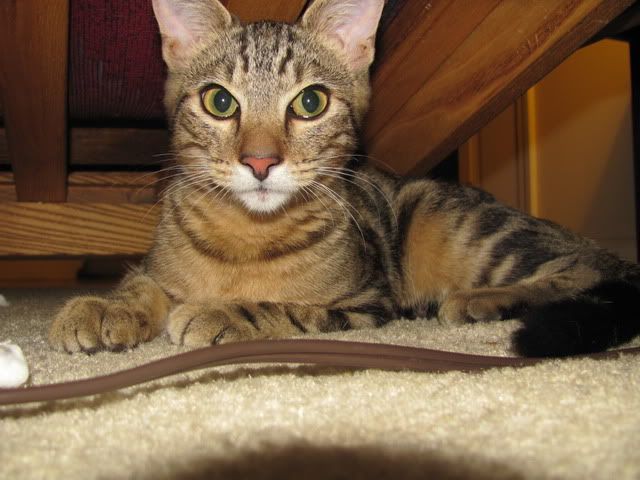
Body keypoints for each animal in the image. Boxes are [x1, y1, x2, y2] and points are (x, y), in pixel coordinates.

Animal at [49, 0, 640, 357]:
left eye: (310, 103)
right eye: (220, 102)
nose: (259, 161)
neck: (245, 238)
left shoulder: (364, 304)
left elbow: (291, 310)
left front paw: (222, 311)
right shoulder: (158, 265)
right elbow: (141, 280)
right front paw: (106, 306)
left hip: (451, 220)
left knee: (586, 267)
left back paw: (481, 300)